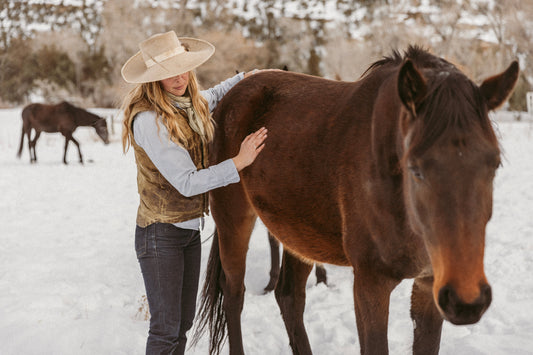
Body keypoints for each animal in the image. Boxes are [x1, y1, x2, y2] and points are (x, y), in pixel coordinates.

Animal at [193, 46, 516, 354]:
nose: (467, 300)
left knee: (289, 297)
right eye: (415, 169)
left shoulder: (429, 285)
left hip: (298, 234)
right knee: (233, 294)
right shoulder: (370, 283)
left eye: (495, 164)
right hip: (234, 220)